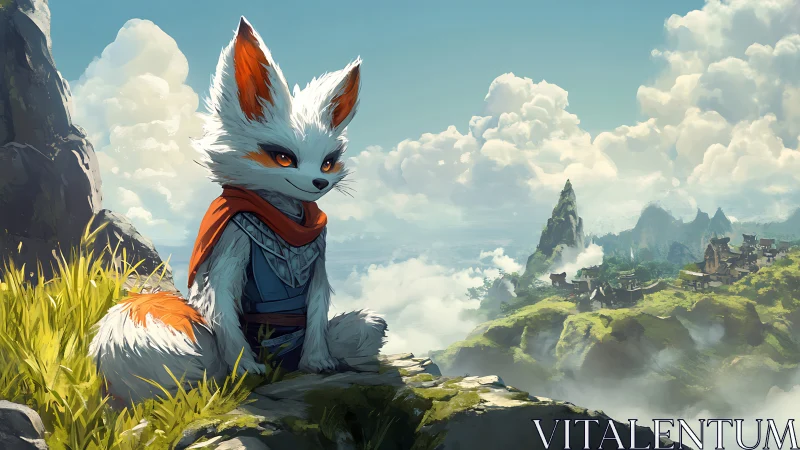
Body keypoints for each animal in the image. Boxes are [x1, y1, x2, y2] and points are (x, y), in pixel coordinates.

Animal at [88, 16, 388, 406]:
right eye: (283, 157)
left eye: (328, 162)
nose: (319, 182)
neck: (284, 219)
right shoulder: (232, 241)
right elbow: (222, 301)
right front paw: (246, 368)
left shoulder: (318, 263)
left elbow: (317, 308)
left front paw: (318, 361)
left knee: (369, 326)